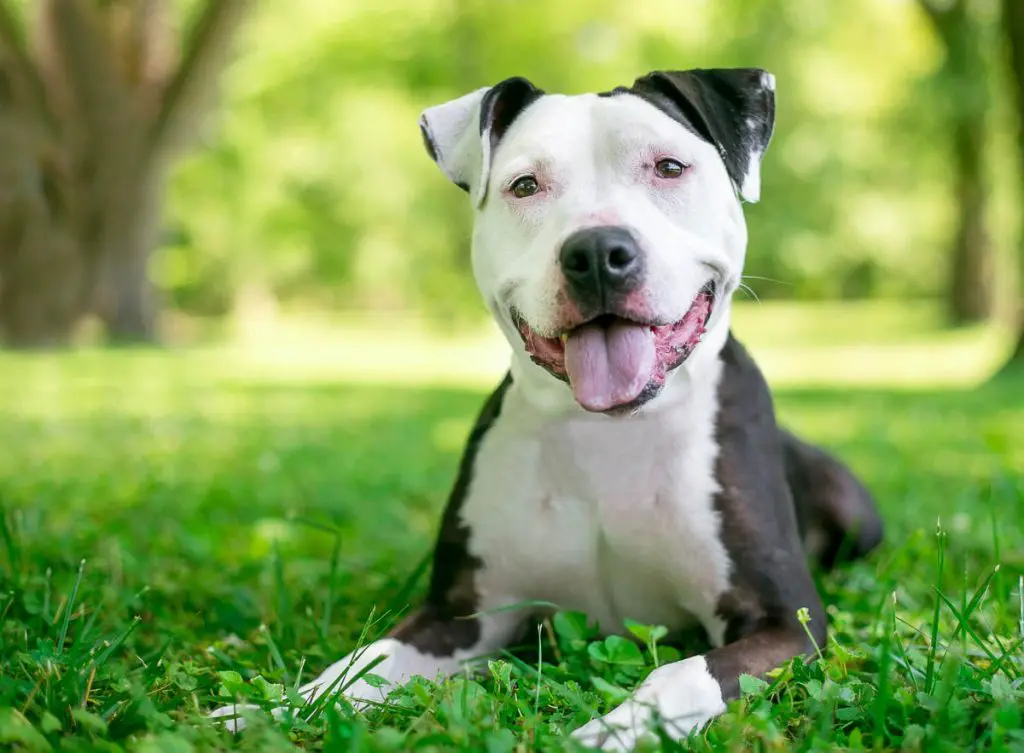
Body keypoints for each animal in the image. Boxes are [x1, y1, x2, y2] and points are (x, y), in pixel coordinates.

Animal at [211, 67, 884, 749]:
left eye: (669, 167)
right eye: (526, 185)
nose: (598, 252)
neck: (608, 432)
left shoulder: (784, 621)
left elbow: (681, 673)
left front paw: (618, 728)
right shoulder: (461, 615)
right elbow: (360, 664)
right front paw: (272, 708)